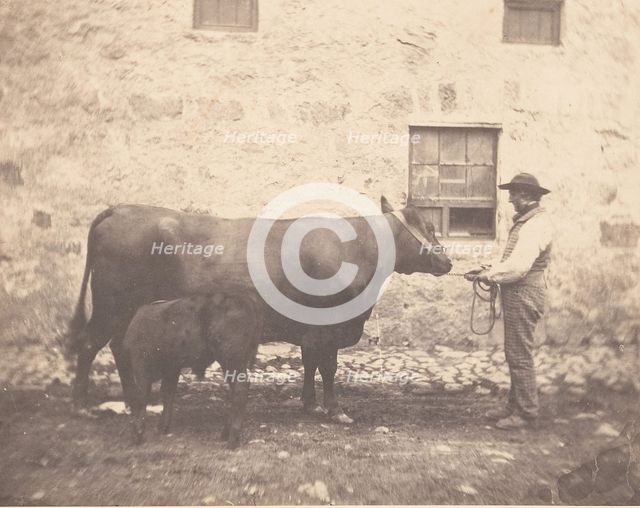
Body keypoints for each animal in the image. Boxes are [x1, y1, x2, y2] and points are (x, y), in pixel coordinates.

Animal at [66, 197, 452, 423]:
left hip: (126, 310)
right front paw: (335, 410)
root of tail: (121, 208)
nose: (447, 261)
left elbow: (310, 363)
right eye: (429, 227)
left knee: (118, 347)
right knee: (90, 344)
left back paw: (133, 400)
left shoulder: (310, 328)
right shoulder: (329, 325)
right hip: (112, 304)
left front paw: (309, 404)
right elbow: (328, 367)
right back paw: (83, 405)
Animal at [123, 291, 263, 448]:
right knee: (235, 391)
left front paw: (138, 434)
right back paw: (225, 434)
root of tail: (246, 300)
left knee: (240, 389)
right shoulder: (171, 368)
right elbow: (167, 394)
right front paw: (162, 427)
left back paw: (232, 440)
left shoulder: (140, 364)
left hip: (231, 359)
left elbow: (141, 396)